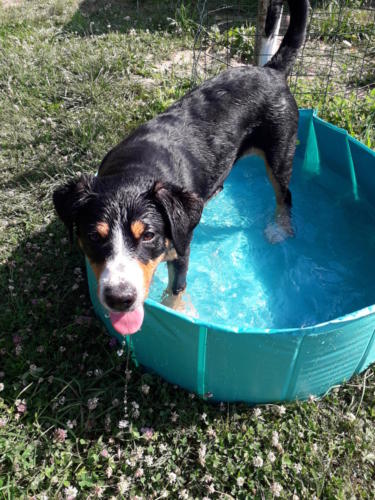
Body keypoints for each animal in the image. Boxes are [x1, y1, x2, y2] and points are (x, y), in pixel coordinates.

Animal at [53, 0, 312, 336]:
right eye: (94, 236)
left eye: (148, 235)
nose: (120, 298)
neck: (136, 169)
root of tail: (270, 70)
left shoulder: (182, 248)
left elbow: (176, 288)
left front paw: (176, 310)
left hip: (279, 152)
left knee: (285, 195)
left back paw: (280, 229)